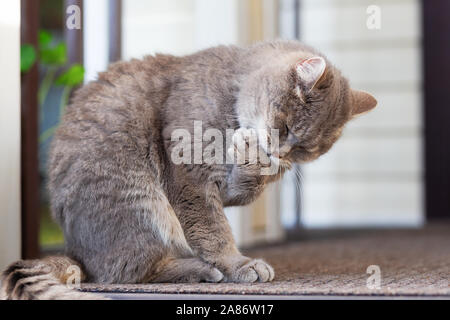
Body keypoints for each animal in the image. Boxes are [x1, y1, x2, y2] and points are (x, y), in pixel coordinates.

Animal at [1, 40, 376, 300]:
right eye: (284, 127)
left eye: (306, 150)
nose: (279, 153)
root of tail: (74, 251)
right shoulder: (189, 179)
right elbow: (213, 231)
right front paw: (238, 265)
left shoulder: (227, 188)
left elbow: (244, 185)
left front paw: (254, 160)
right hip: (141, 202)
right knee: (124, 272)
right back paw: (201, 269)